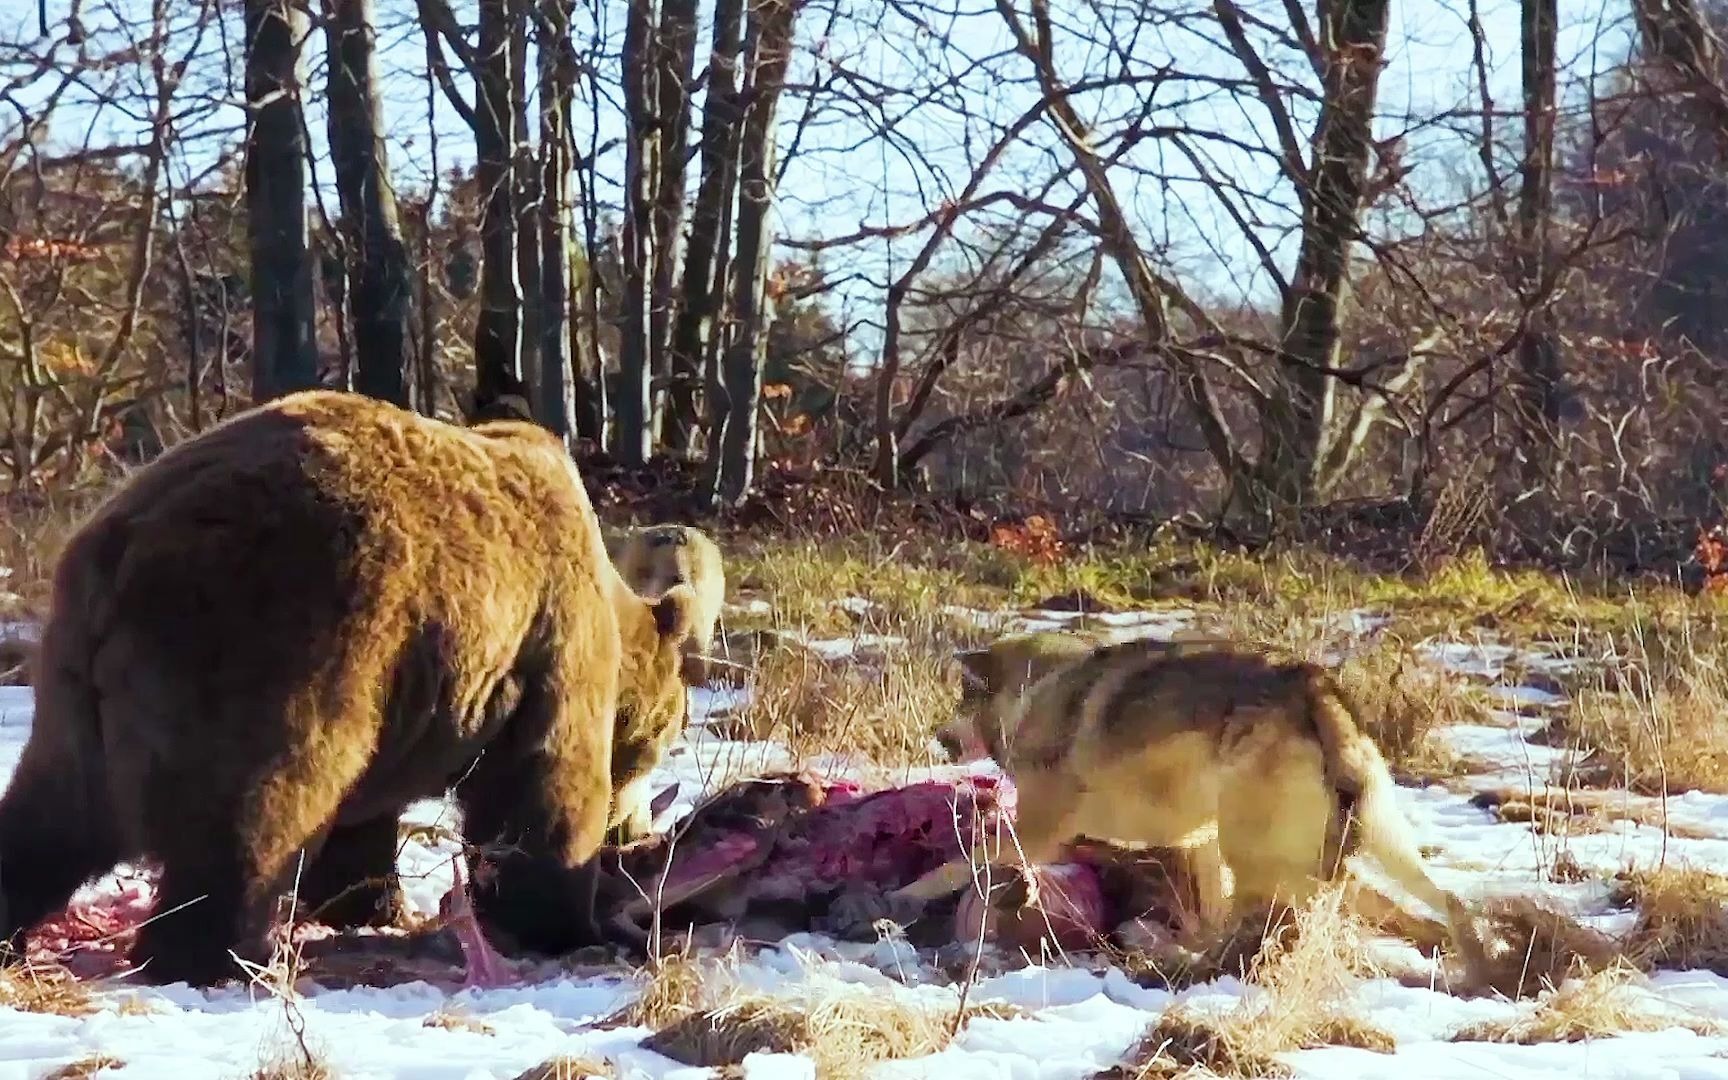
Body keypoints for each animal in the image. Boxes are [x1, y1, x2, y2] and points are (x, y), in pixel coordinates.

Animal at [1, 387, 701, 988]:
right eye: (664, 739)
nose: (631, 829)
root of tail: (131, 539)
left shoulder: (403, 684)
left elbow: (361, 817)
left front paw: (366, 903)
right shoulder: (548, 643)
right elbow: (543, 785)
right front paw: (571, 923)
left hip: (75, 679)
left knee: (52, 812)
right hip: (273, 635)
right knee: (255, 809)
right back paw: (219, 955)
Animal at [912, 628, 1492, 981]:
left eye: (961, 699)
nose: (937, 738)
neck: (1039, 693)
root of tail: (1313, 689)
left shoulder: (1035, 834)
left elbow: (956, 864)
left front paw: (904, 897)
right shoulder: (1197, 843)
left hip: (1269, 857)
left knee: (1308, 910)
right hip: (1368, 843)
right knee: (1445, 902)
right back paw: (1477, 962)